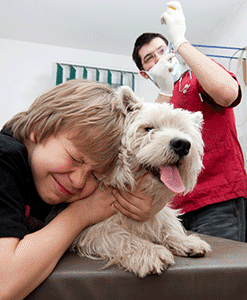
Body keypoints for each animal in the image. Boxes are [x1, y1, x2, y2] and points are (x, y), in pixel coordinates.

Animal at [69, 86, 210, 276]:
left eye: (183, 131)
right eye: (148, 128)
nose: (182, 144)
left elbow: (167, 223)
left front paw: (187, 241)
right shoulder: (93, 227)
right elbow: (122, 235)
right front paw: (150, 252)